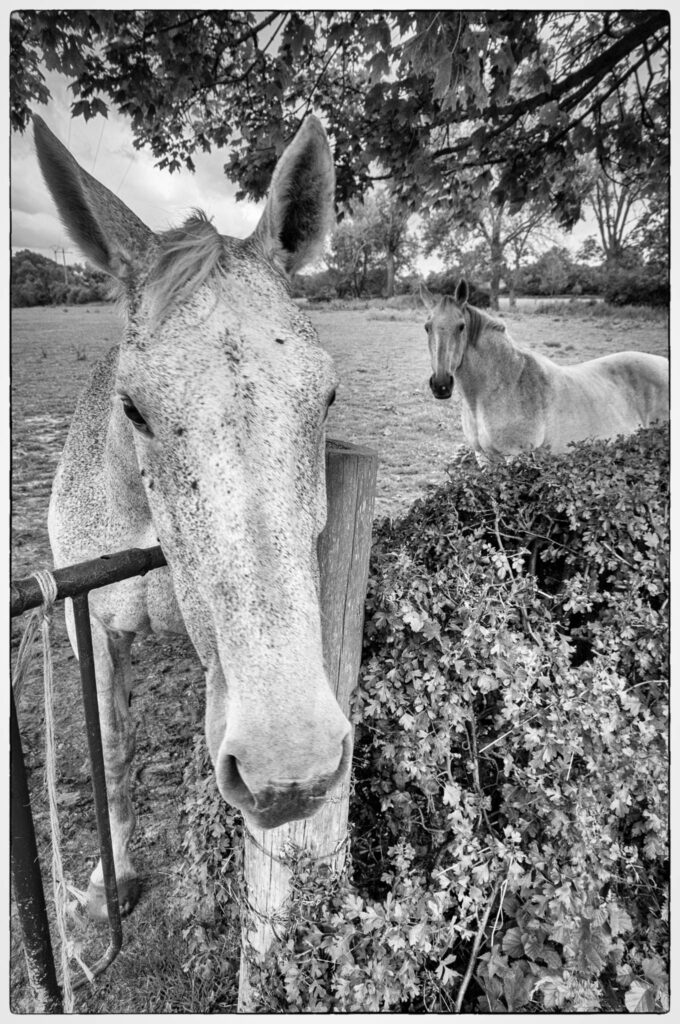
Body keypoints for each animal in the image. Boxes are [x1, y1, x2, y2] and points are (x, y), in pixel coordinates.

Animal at [33, 114, 347, 922]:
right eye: (133, 407)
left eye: (327, 395)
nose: (293, 766)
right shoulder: (90, 626)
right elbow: (113, 751)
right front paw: (111, 881)